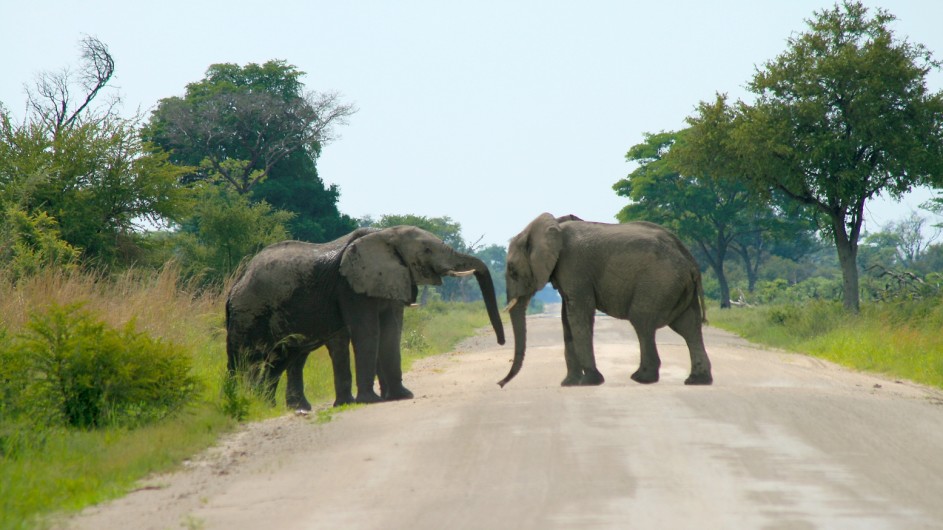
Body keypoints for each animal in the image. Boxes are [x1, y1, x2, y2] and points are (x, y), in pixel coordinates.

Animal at [227, 223, 508, 408]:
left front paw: (401, 396)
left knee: (281, 358)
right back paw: (241, 402)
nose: (502, 341)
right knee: (244, 357)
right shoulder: (350, 286)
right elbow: (368, 332)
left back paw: (271, 407)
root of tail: (237, 282)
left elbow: (391, 331)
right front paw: (370, 401)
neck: (385, 235)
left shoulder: (391, 276)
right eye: (427, 250)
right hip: (247, 311)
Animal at [498, 213, 712, 388]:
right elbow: (566, 319)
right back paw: (697, 380)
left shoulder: (574, 267)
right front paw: (569, 383)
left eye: (512, 271)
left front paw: (590, 381)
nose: (500, 384)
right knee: (688, 326)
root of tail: (690, 260)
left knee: (643, 322)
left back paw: (641, 378)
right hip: (676, 286)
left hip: (659, 282)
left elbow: (580, 315)